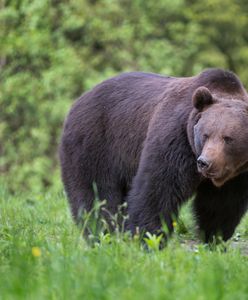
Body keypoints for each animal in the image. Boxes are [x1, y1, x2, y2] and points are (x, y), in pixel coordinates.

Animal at [59, 69, 248, 243]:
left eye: (227, 138)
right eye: (205, 135)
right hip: (95, 143)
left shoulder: (236, 175)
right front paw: (149, 236)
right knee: (97, 193)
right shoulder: (176, 137)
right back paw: (103, 232)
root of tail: (78, 100)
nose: (205, 162)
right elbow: (159, 187)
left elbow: (221, 205)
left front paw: (215, 238)